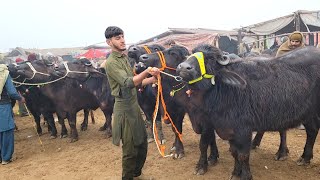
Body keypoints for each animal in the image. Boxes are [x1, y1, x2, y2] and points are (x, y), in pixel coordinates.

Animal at [176, 44, 320, 179]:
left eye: (210, 58)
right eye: (192, 53)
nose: (183, 67)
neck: (225, 90)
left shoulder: (244, 130)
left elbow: (243, 155)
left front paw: (245, 175)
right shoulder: (227, 129)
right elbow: (234, 153)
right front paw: (235, 173)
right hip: (308, 114)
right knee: (312, 130)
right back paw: (305, 158)